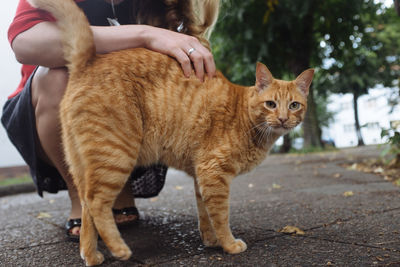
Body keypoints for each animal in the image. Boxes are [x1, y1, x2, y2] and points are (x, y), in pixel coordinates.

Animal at [28, 0, 312, 264]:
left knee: (86, 206)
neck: (245, 116)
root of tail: (87, 62)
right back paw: (119, 250)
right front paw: (229, 244)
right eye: (271, 104)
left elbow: (205, 214)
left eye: (294, 105)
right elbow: (221, 216)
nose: (283, 119)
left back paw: (91, 255)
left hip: (84, 164)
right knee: (97, 203)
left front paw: (210, 241)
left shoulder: (202, 176)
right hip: (117, 156)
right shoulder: (214, 173)